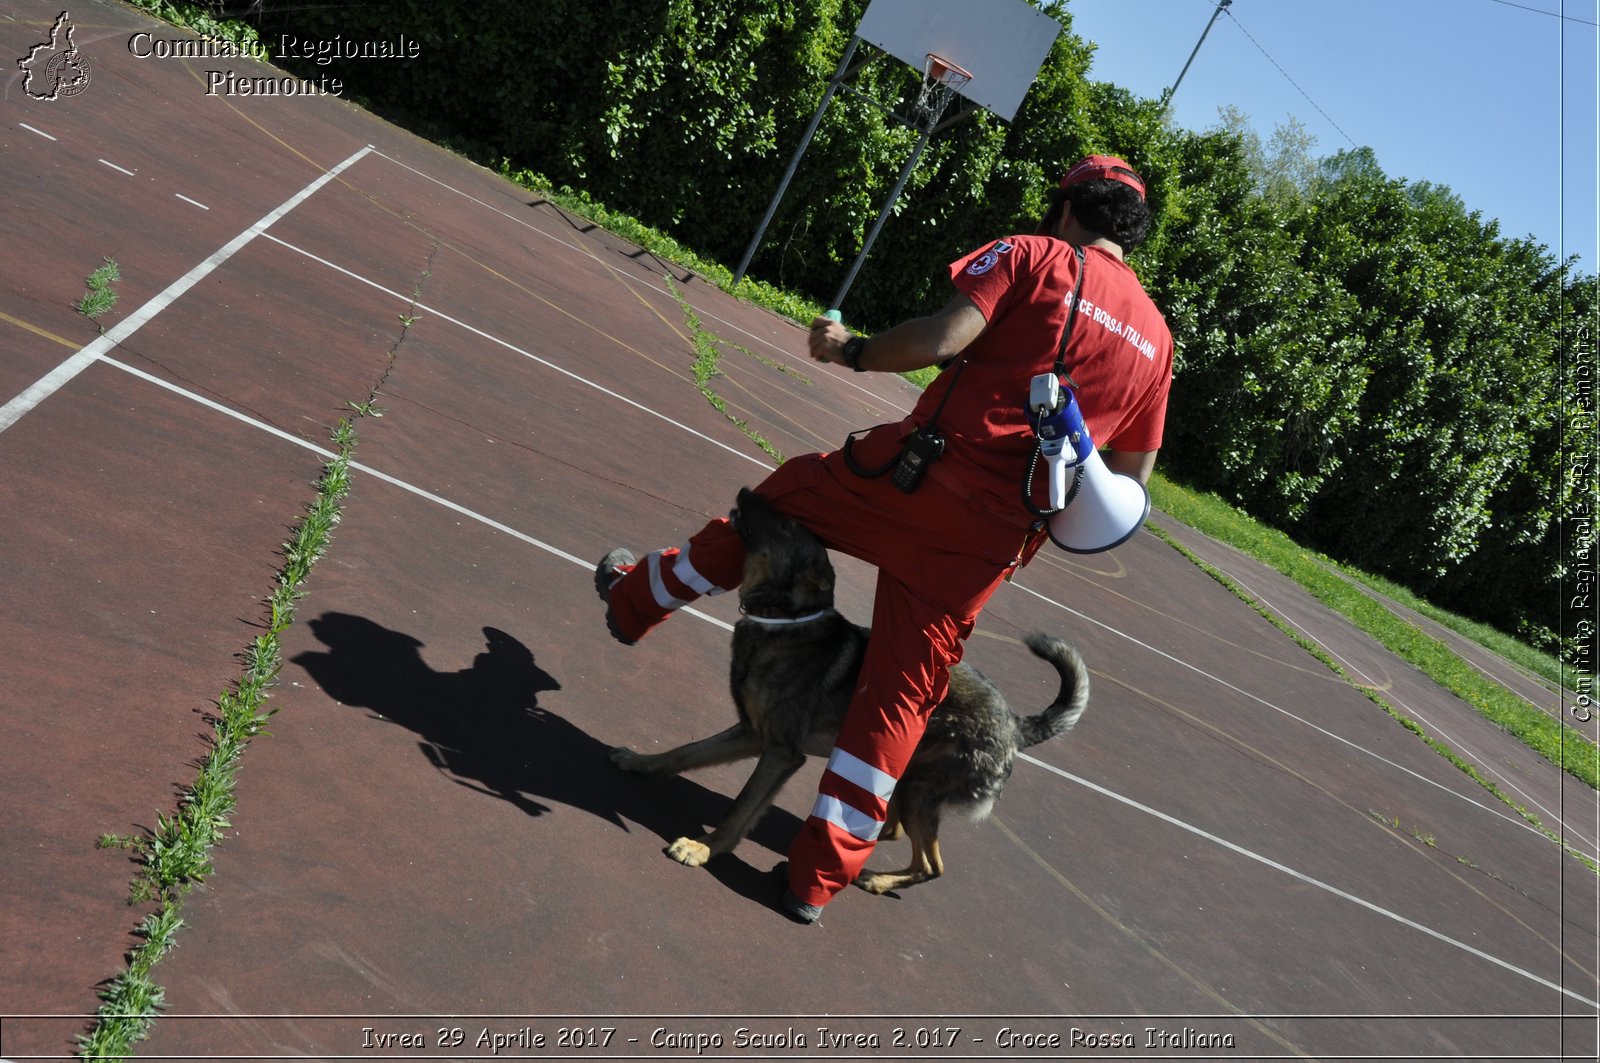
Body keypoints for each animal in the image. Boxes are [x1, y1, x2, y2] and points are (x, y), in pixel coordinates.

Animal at [604, 489, 1094, 896]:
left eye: (788, 526)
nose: (748, 491)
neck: (784, 619)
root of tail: (1016, 724)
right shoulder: (749, 733)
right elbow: (685, 752)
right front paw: (642, 762)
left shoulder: (780, 752)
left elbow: (741, 808)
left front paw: (704, 848)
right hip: (904, 777)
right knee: (894, 832)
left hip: (919, 789)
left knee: (932, 865)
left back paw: (875, 879)